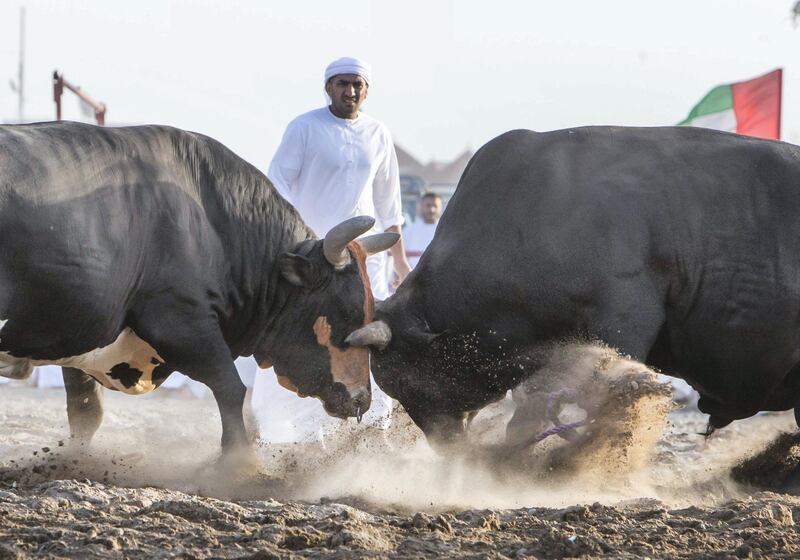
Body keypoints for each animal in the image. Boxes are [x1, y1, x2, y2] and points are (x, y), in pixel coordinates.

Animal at [0, 120, 400, 458]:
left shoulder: (82, 329)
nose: (362, 399)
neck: (211, 225)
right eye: (347, 312)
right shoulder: (181, 322)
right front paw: (241, 464)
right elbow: (230, 387)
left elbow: (86, 411)